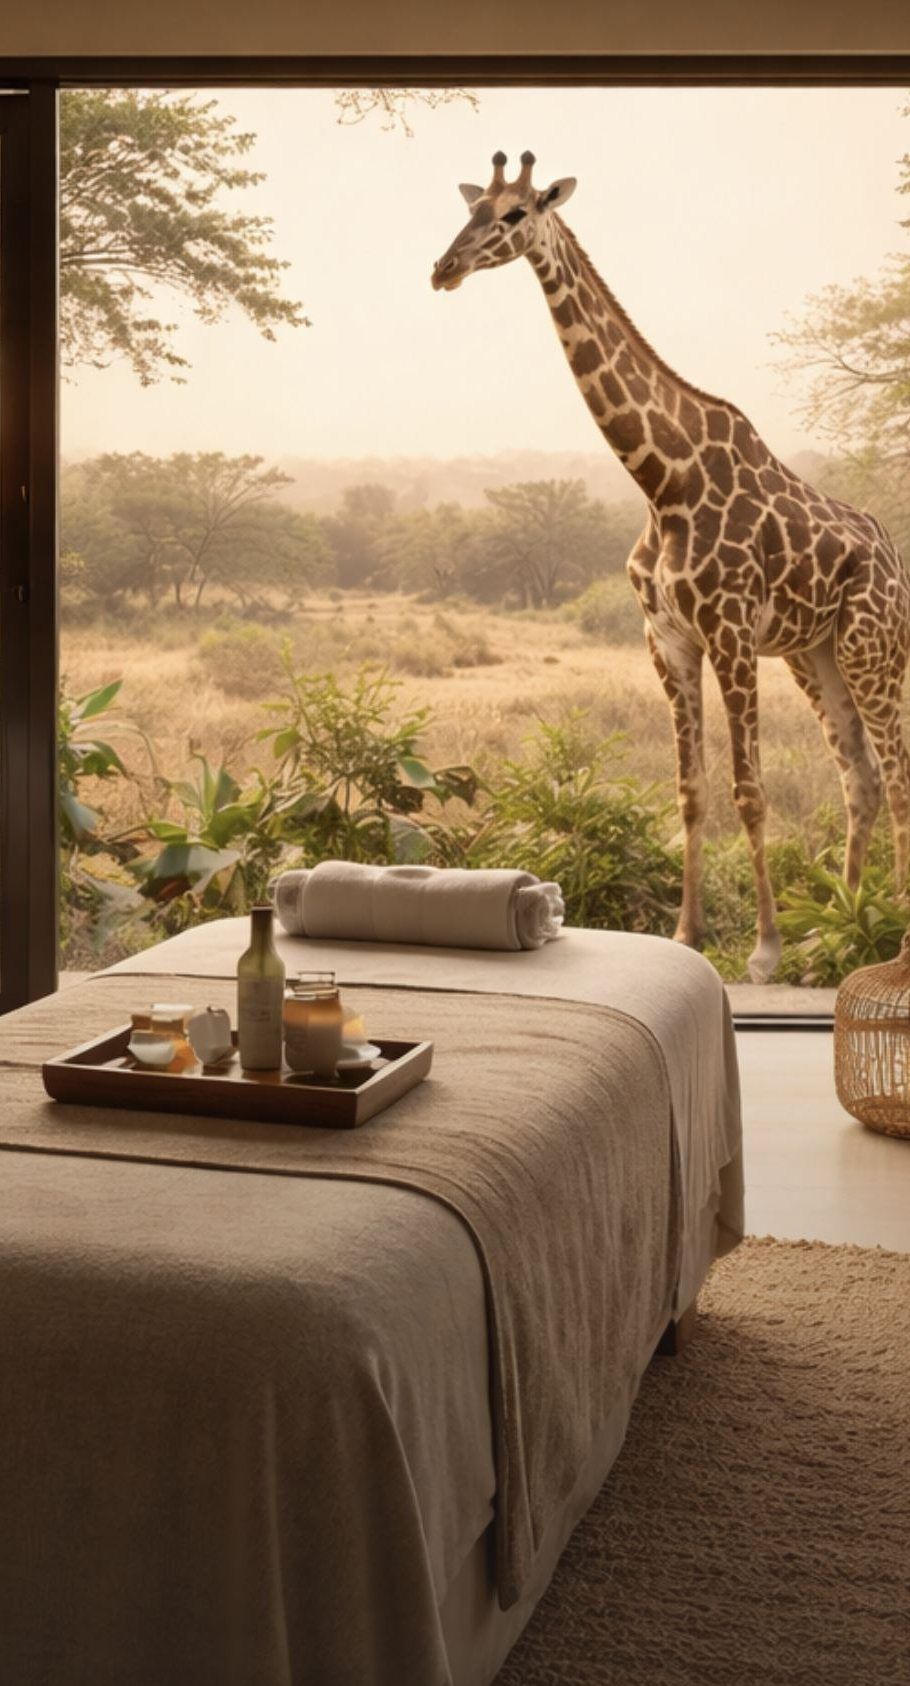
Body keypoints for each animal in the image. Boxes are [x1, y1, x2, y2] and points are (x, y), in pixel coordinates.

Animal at [432, 150, 910, 981]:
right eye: (470, 209)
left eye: (516, 213)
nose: (444, 268)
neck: (662, 478)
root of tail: (889, 553)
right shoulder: (669, 639)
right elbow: (689, 790)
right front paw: (689, 935)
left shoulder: (731, 633)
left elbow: (749, 790)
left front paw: (764, 951)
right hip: (816, 654)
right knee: (861, 774)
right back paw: (843, 927)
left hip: (870, 647)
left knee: (899, 770)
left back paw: (890, 934)